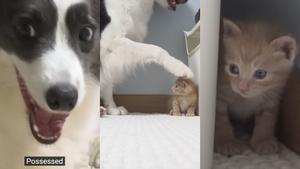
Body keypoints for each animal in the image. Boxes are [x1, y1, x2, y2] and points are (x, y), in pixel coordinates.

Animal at [214, 18, 296, 156]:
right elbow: (220, 119)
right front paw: (226, 141)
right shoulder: (219, 96)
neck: (246, 99)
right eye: (233, 69)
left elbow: (266, 120)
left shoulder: (271, 98)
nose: (242, 87)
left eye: (260, 73)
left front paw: (263, 141)